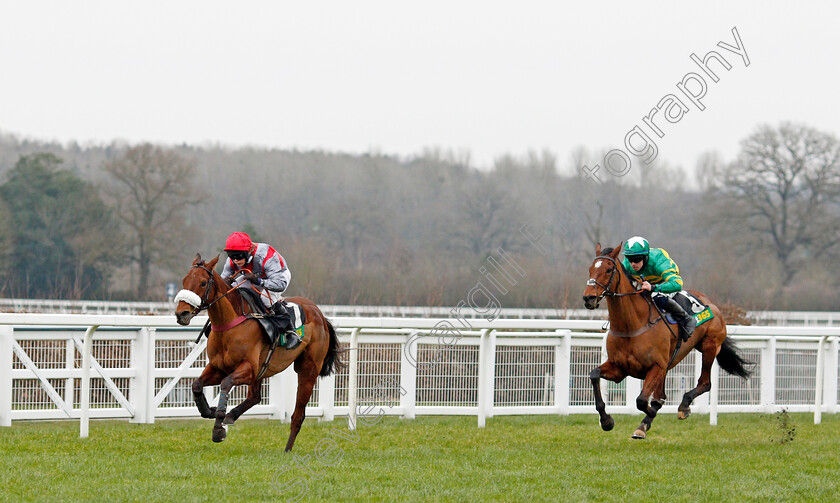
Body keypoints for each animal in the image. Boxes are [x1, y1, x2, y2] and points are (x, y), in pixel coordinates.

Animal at [172, 254, 342, 450]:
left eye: (202, 282)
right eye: (184, 280)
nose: (181, 314)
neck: (230, 324)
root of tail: (320, 314)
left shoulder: (248, 368)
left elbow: (225, 383)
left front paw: (218, 428)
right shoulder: (218, 367)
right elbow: (197, 385)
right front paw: (211, 411)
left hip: (308, 369)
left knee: (298, 415)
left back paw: (287, 449)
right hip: (263, 369)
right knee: (255, 397)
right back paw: (232, 415)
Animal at [580, 243, 752, 438]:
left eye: (609, 270)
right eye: (590, 269)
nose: (588, 298)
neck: (631, 326)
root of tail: (711, 304)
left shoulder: (656, 366)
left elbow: (642, 401)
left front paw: (649, 415)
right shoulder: (620, 368)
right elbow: (594, 375)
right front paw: (606, 420)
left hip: (709, 346)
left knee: (704, 383)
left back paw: (683, 406)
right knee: (662, 394)